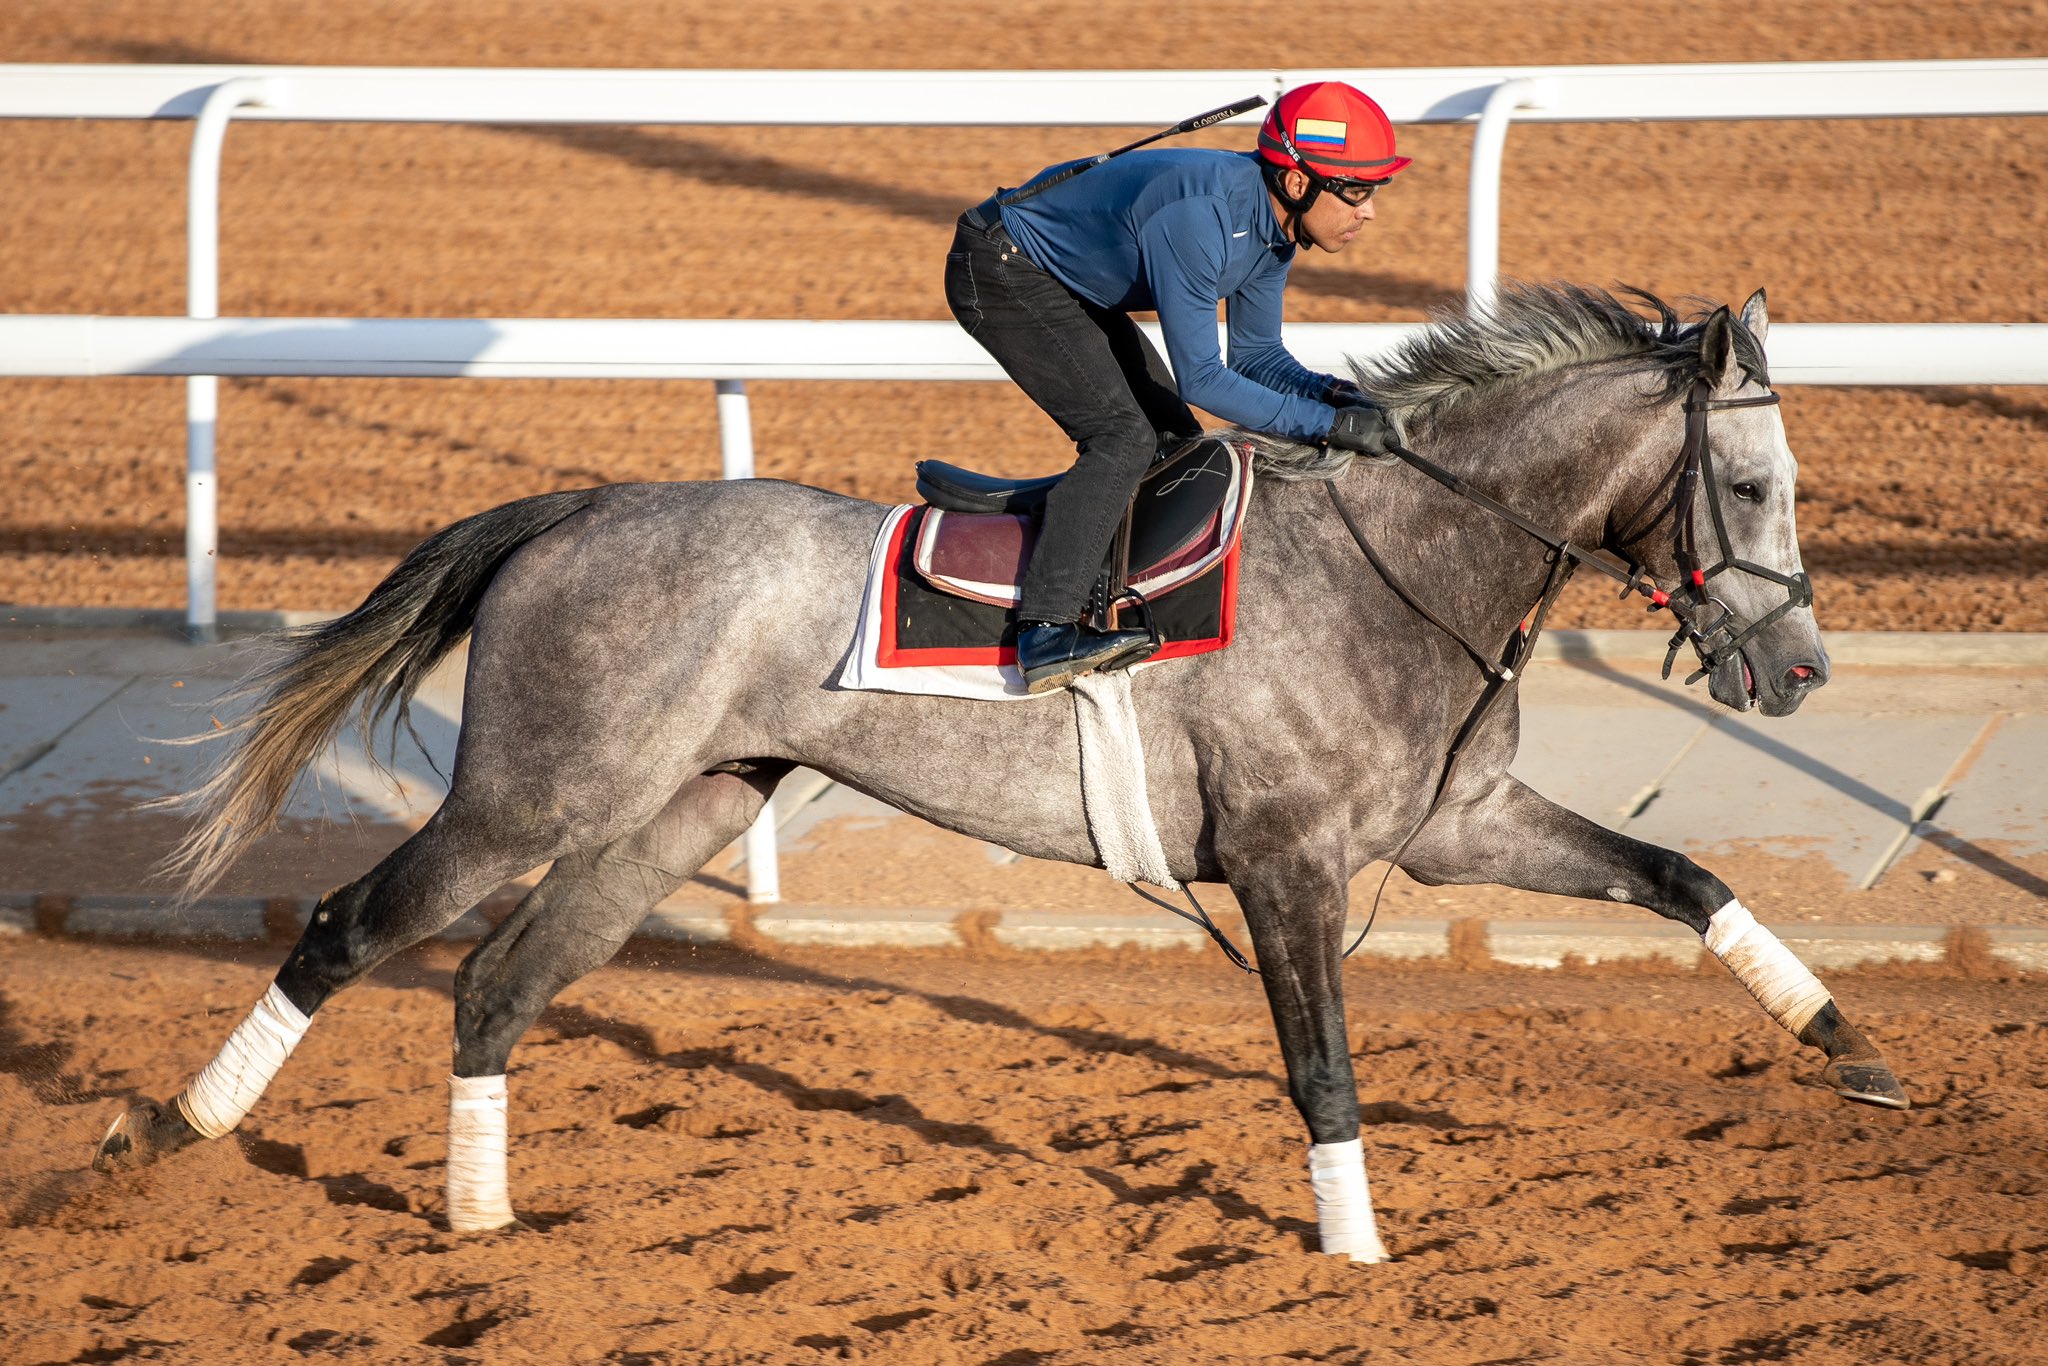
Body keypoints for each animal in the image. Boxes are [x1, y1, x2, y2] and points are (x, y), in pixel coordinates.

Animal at [92, 282, 1900, 1269]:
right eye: (1753, 482)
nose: (1801, 670)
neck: (1401, 555)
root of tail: (582, 505)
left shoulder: (1454, 826)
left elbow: (1686, 876)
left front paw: (1855, 1049)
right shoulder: (1287, 863)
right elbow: (1322, 1072)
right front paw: (1358, 1249)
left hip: (678, 808)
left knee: (496, 984)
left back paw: (477, 1220)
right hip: (530, 795)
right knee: (348, 929)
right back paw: (161, 1132)